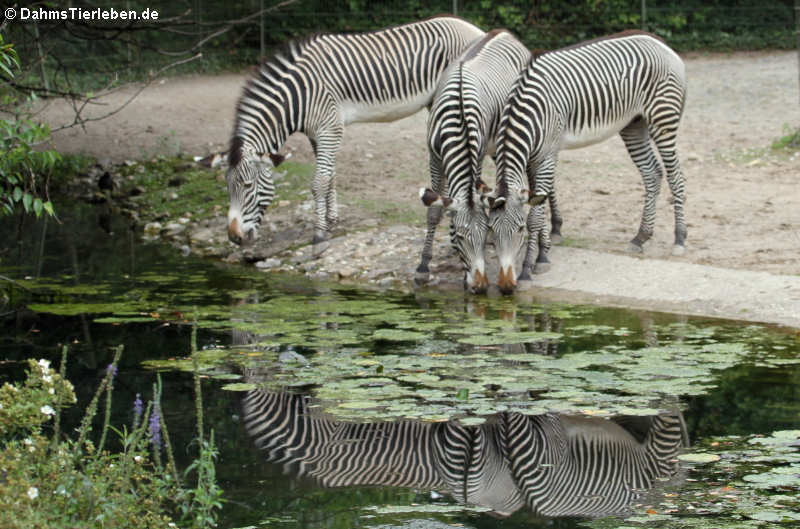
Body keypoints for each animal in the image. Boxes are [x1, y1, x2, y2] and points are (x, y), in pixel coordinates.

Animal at [227, 19, 488, 258]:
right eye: (227, 187)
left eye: (247, 186)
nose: (233, 238)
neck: (299, 95)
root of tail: (472, 27)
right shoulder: (317, 133)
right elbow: (330, 175)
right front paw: (331, 221)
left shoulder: (329, 128)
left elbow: (319, 182)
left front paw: (318, 238)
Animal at [418, 29, 564, 292]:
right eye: (459, 236)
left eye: (484, 231)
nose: (481, 287)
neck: (457, 115)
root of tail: (503, 32)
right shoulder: (434, 156)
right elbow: (434, 211)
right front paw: (423, 267)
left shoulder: (475, 154)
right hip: (499, 144)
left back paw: (546, 245)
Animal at [484, 31, 692, 294]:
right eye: (491, 230)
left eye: (519, 230)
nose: (504, 286)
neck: (528, 113)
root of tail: (660, 43)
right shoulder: (532, 159)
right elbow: (540, 204)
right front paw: (544, 254)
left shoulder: (548, 156)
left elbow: (536, 216)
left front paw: (528, 269)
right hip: (634, 124)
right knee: (652, 173)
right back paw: (641, 237)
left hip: (663, 119)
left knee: (676, 177)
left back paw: (679, 239)